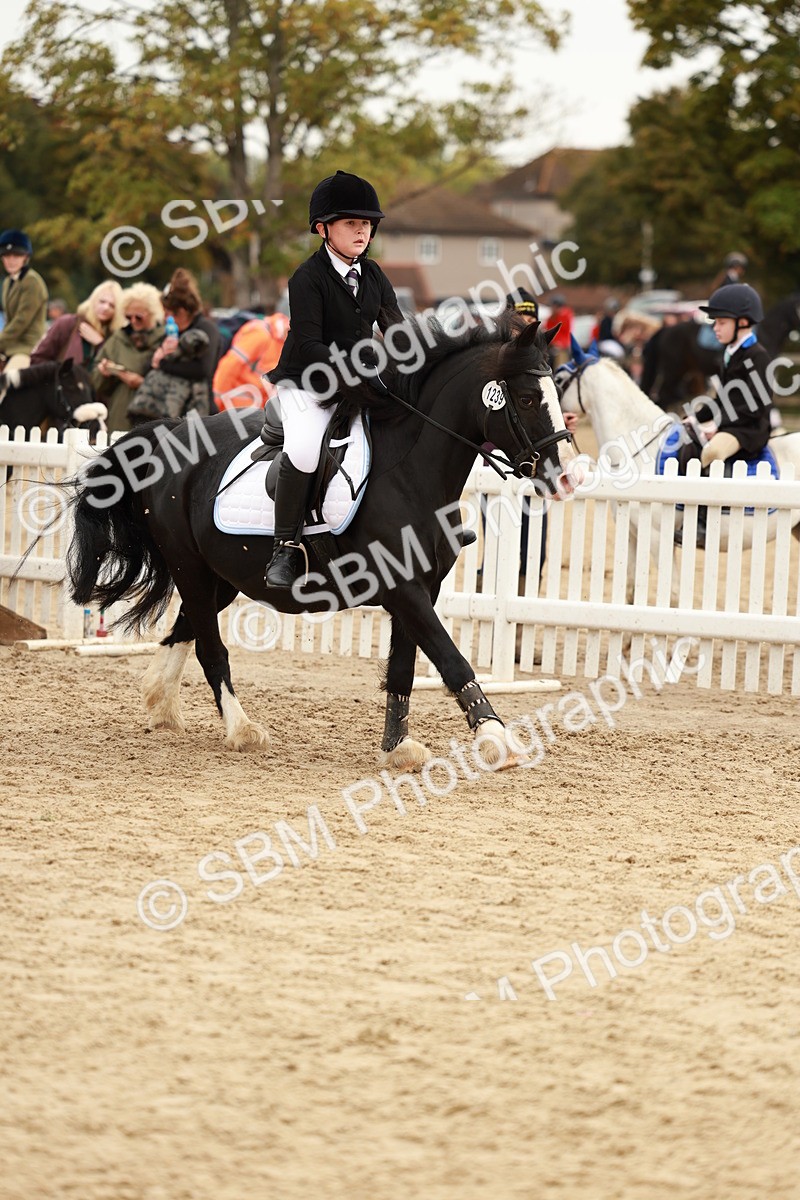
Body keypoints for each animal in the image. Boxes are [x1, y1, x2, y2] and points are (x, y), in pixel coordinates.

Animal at [65, 316, 579, 766]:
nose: (567, 479)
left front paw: (396, 748)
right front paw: (497, 738)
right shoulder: (403, 589)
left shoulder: (421, 588)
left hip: (221, 577)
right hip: (189, 567)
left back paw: (161, 705)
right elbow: (451, 660)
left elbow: (404, 668)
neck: (409, 472)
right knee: (211, 649)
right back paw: (240, 729)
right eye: (528, 398)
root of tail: (170, 432)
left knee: (184, 629)